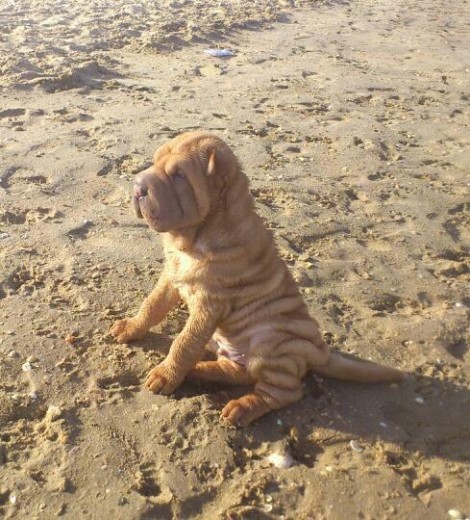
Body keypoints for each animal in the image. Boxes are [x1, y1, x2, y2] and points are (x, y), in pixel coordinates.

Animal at [108, 131, 402, 426]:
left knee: (282, 391)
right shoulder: (172, 276)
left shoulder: (210, 303)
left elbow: (185, 341)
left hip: (272, 344)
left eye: (179, 175)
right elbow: (151, 306)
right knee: (235, 370)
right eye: (155, 161)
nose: (137, 186)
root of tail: (321, 352)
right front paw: (129, 327)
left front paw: (165, 375)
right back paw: (199, 371)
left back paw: (240, 407)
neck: (193, 240)